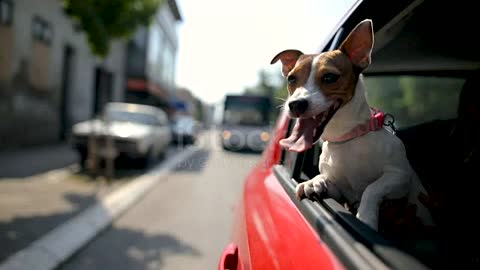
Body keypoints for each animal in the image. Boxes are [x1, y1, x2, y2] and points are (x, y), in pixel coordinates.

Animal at [272, 19, 434, 230]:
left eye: (329, 77)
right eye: (291, 78)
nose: (296, 104)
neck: (347, 138)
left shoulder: (399, 177)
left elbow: (372, 189)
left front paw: (366, 216)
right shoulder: (342, 193)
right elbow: (327, 181)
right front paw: (314, 182)